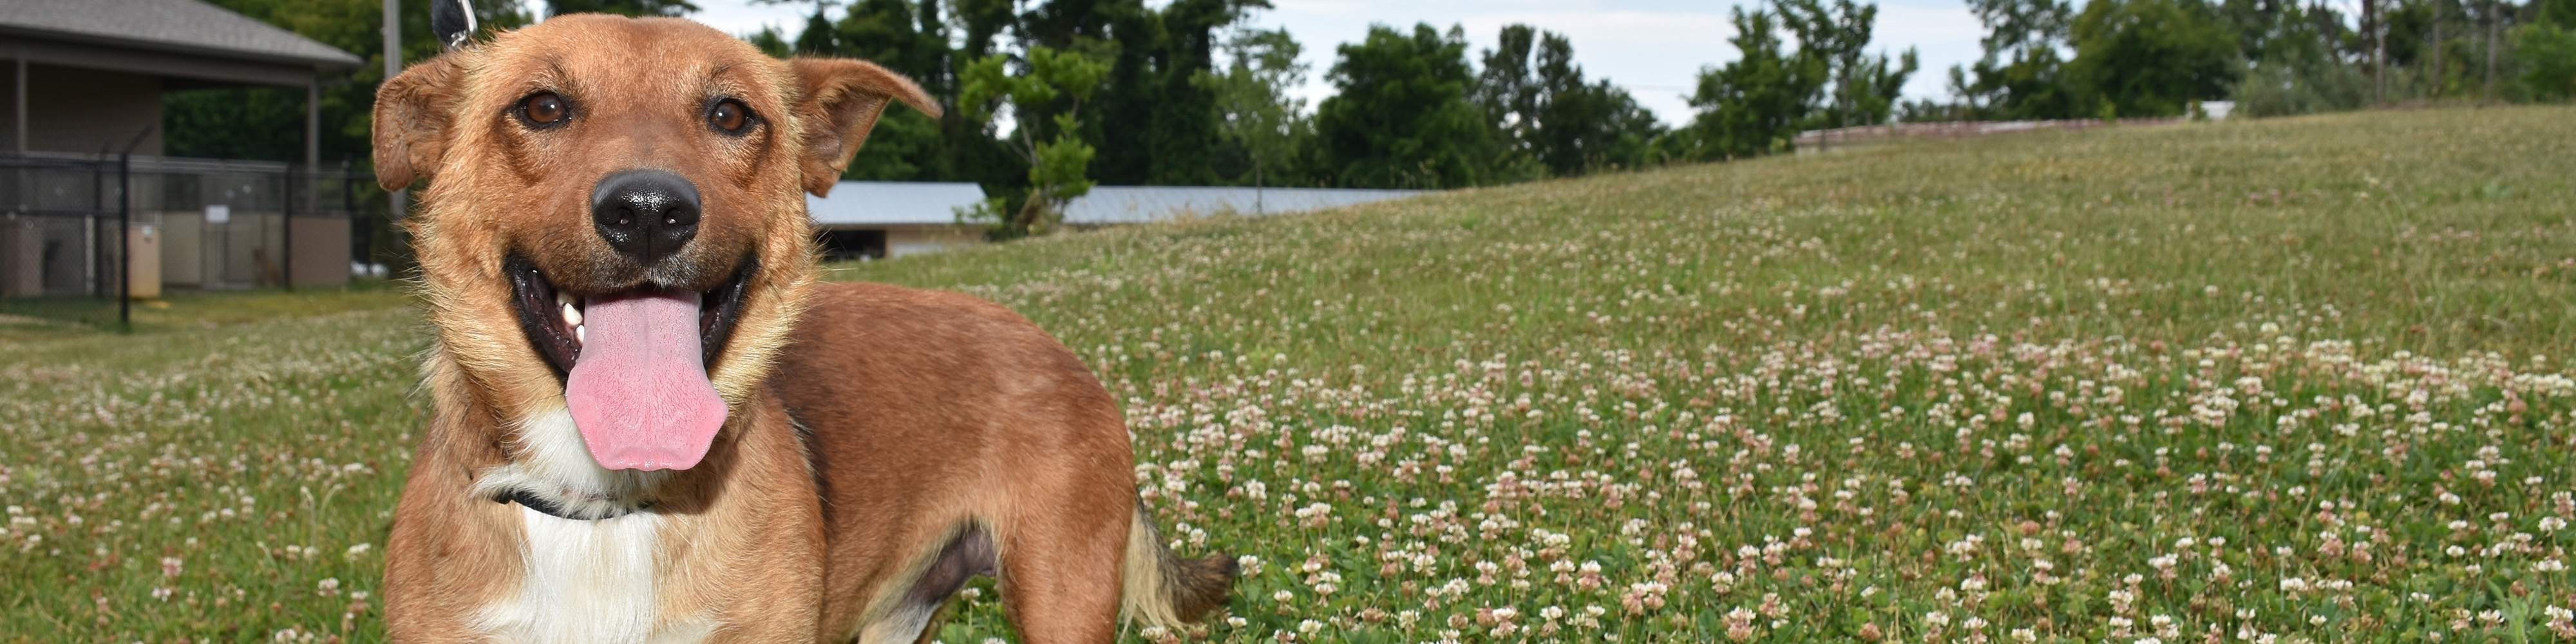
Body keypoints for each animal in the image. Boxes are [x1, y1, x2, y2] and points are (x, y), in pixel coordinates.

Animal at [371, 12, 1236, 641]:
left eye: (730, 114)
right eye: (542, 107)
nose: (648, 212)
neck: (607, 505)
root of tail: (1061, 350)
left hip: (1059, 597)